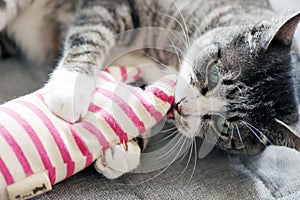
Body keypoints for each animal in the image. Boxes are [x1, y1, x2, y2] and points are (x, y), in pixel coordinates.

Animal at [0, 0, 300, 156]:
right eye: (214, 73)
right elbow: (94, 32)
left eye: (224, 127)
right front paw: (70, 88)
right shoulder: (113, 5)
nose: (182, 106)